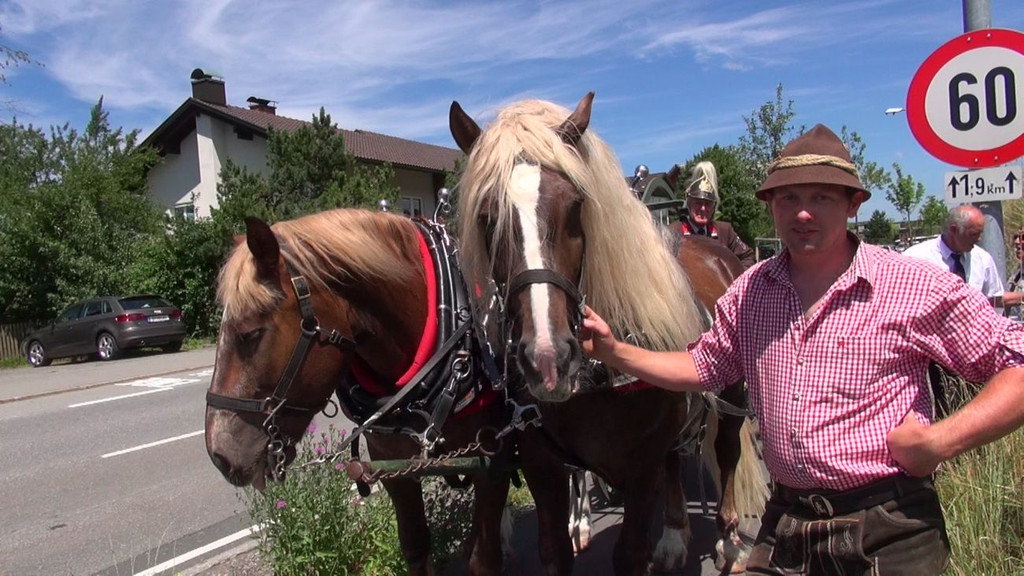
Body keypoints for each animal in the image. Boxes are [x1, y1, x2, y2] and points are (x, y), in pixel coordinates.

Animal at [203, 210, 514, 576]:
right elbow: (416, 547)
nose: (220, 455)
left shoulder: (493, 461)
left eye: (250, 334)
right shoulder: (393, 470)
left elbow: (484, 556)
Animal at [449, 92, 768, 575]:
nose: (547, 358)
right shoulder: (543, 465)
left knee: (728, 450)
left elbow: (630, 554)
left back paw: (729, 538)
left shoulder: (640, 471)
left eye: (575, 206)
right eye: (487, 217)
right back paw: (674, 534)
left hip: (732, 394)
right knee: (676, 459)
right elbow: (554, 550)